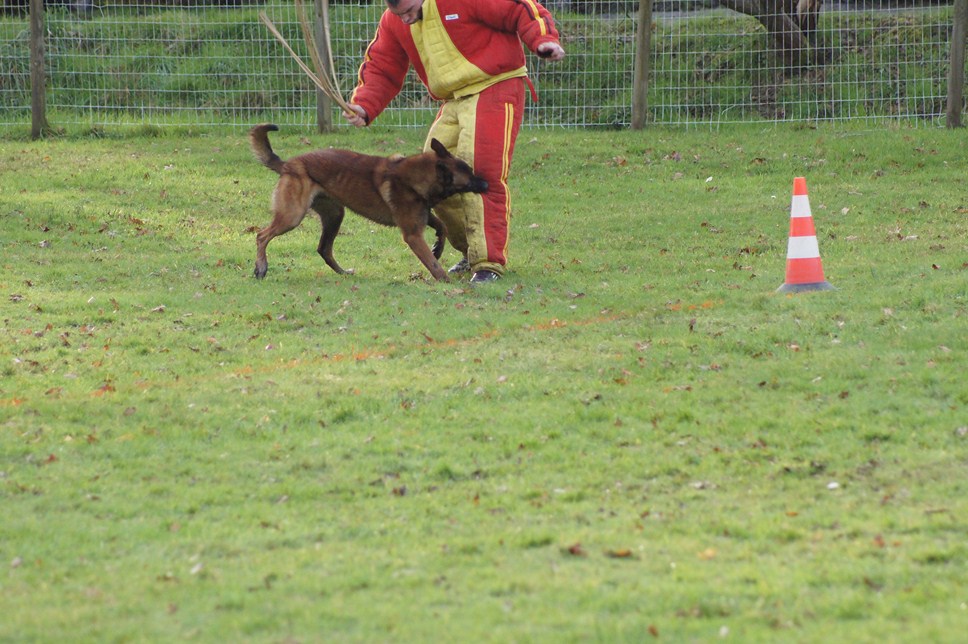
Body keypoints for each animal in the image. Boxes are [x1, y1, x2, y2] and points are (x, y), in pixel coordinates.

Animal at [250, 123, 488, 280]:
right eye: (469, 175)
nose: (486, 184)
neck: (414, 177)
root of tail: (288, 165)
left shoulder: (422, 215)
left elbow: (442, 227)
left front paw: (438, 247)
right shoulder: (412, 234)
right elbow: (432, 263)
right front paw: (445, 281)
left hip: (335, 216)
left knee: (323, 249)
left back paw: (343, 272)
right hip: (292, 216)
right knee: (262, 236)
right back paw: (261, 267)